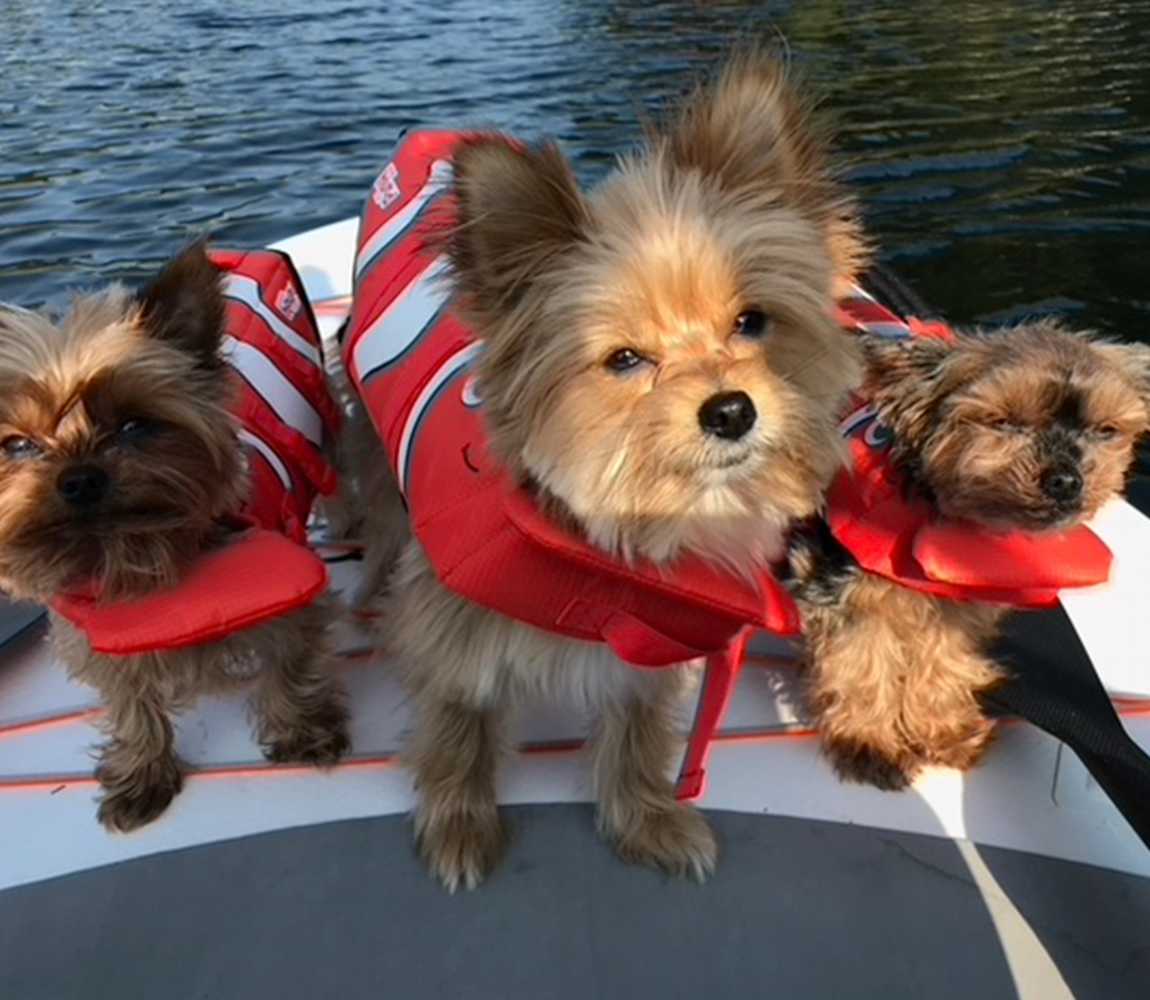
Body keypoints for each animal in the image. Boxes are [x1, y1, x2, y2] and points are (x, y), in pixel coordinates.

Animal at [0, 248, 347, 832]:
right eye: (19, 445)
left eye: (135, 425)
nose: (80, 478)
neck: (141, 556)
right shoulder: (98, 642)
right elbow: (131, 705)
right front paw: (142, 775)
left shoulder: (291, 604)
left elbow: (289, 664)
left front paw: (304, 732)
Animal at [354, 48, 864, 891]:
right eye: (625, 360)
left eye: (751, 321)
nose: (731, 409)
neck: (608, 552)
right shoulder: (452, 628)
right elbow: (458, 719)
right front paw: (460, 824)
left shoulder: (650, 646)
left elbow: (636, 730)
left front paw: (645, 820)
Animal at [791, 321, 1150, 790]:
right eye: (1004, 421)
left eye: (1105, 430)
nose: (1066, 480)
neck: (941, 509)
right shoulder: (849, 588)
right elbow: (863, 662)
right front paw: (870, 744)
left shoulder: (960, 601)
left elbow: (943, 660)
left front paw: (943, 732)